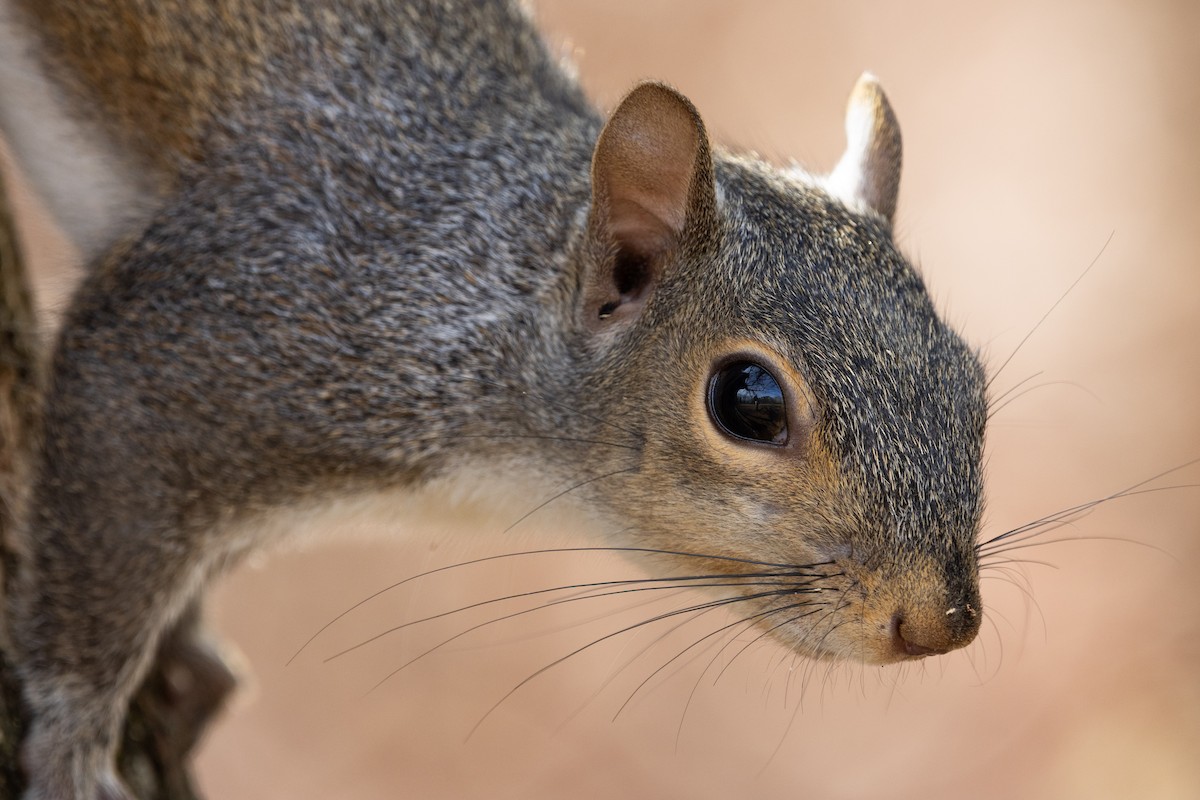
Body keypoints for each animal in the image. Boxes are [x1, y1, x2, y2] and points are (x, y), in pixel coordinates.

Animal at [0, 0, 987, 798]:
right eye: (747, 403)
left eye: (972, 384)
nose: (941, 623)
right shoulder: (223, 339)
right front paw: (74, 753)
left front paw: (192, 658)